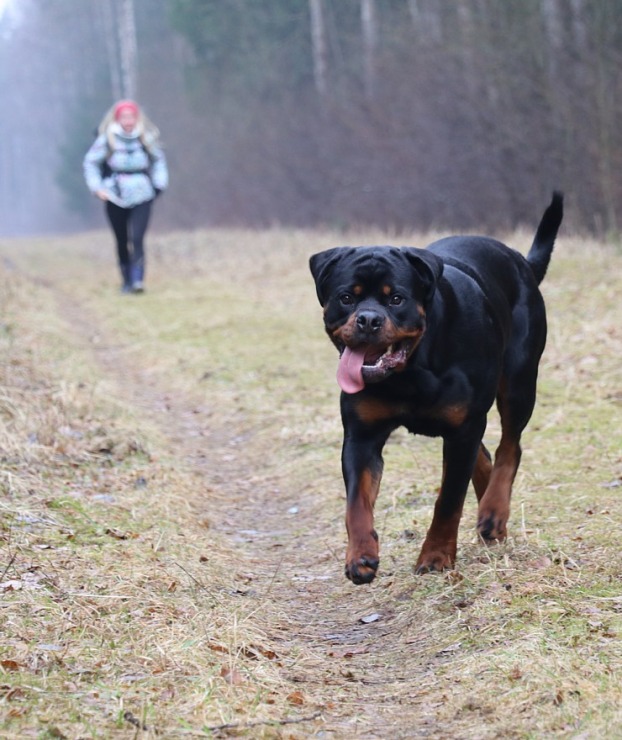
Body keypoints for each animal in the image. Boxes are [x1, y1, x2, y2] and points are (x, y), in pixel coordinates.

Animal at [312, 192, 564, 584]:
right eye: (346, 298)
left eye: (396, 298)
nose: (368, 320)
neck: (411, 369)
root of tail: (520, 260)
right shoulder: (362, 434)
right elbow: (356, 502)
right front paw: (361, 556)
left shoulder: (463, 428)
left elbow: (448, 501)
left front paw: (435, 557)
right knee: (485, 454)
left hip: (519, 381)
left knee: (510, 446)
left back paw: (494, 510)